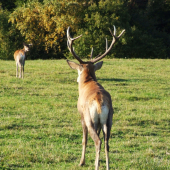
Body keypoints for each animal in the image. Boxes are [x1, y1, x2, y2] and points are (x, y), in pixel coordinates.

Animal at [66, 25, 125, 170]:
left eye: (78, 70)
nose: (77, 79)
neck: (87, 82)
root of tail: (99, 102)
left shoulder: (81, 114)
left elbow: (84, 139)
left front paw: (82, 162)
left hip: (90, 118)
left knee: (98, 141)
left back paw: (95, 166)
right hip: (109, 119)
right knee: (106, 142)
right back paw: (107, 166)